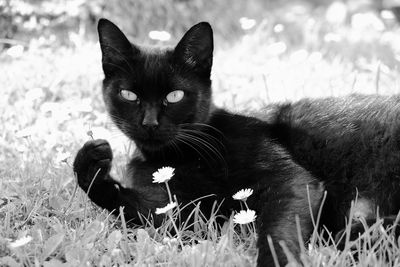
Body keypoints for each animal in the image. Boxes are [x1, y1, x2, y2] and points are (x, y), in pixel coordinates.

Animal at [73, 18, 400, 266]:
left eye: (174, 96)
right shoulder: (179, 212)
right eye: (129, 95)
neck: (178, 159)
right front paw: (91, 164)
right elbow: (133, 208)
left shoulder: (290, 180)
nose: (150, 123)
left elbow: (277, 231)